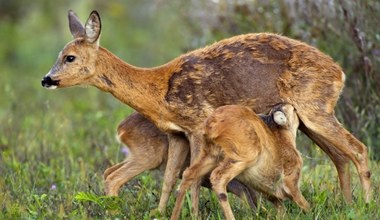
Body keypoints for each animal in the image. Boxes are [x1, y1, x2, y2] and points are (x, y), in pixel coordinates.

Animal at [171, 103, 308, 220]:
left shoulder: (272, 196)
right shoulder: (291, 183)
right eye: (293, 109)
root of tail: (212, 122)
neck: (282, 140)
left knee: (188, 174)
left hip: (210, 156)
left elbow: (281, 209)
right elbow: (305, 205)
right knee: (217, 178)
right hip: (242, 157)